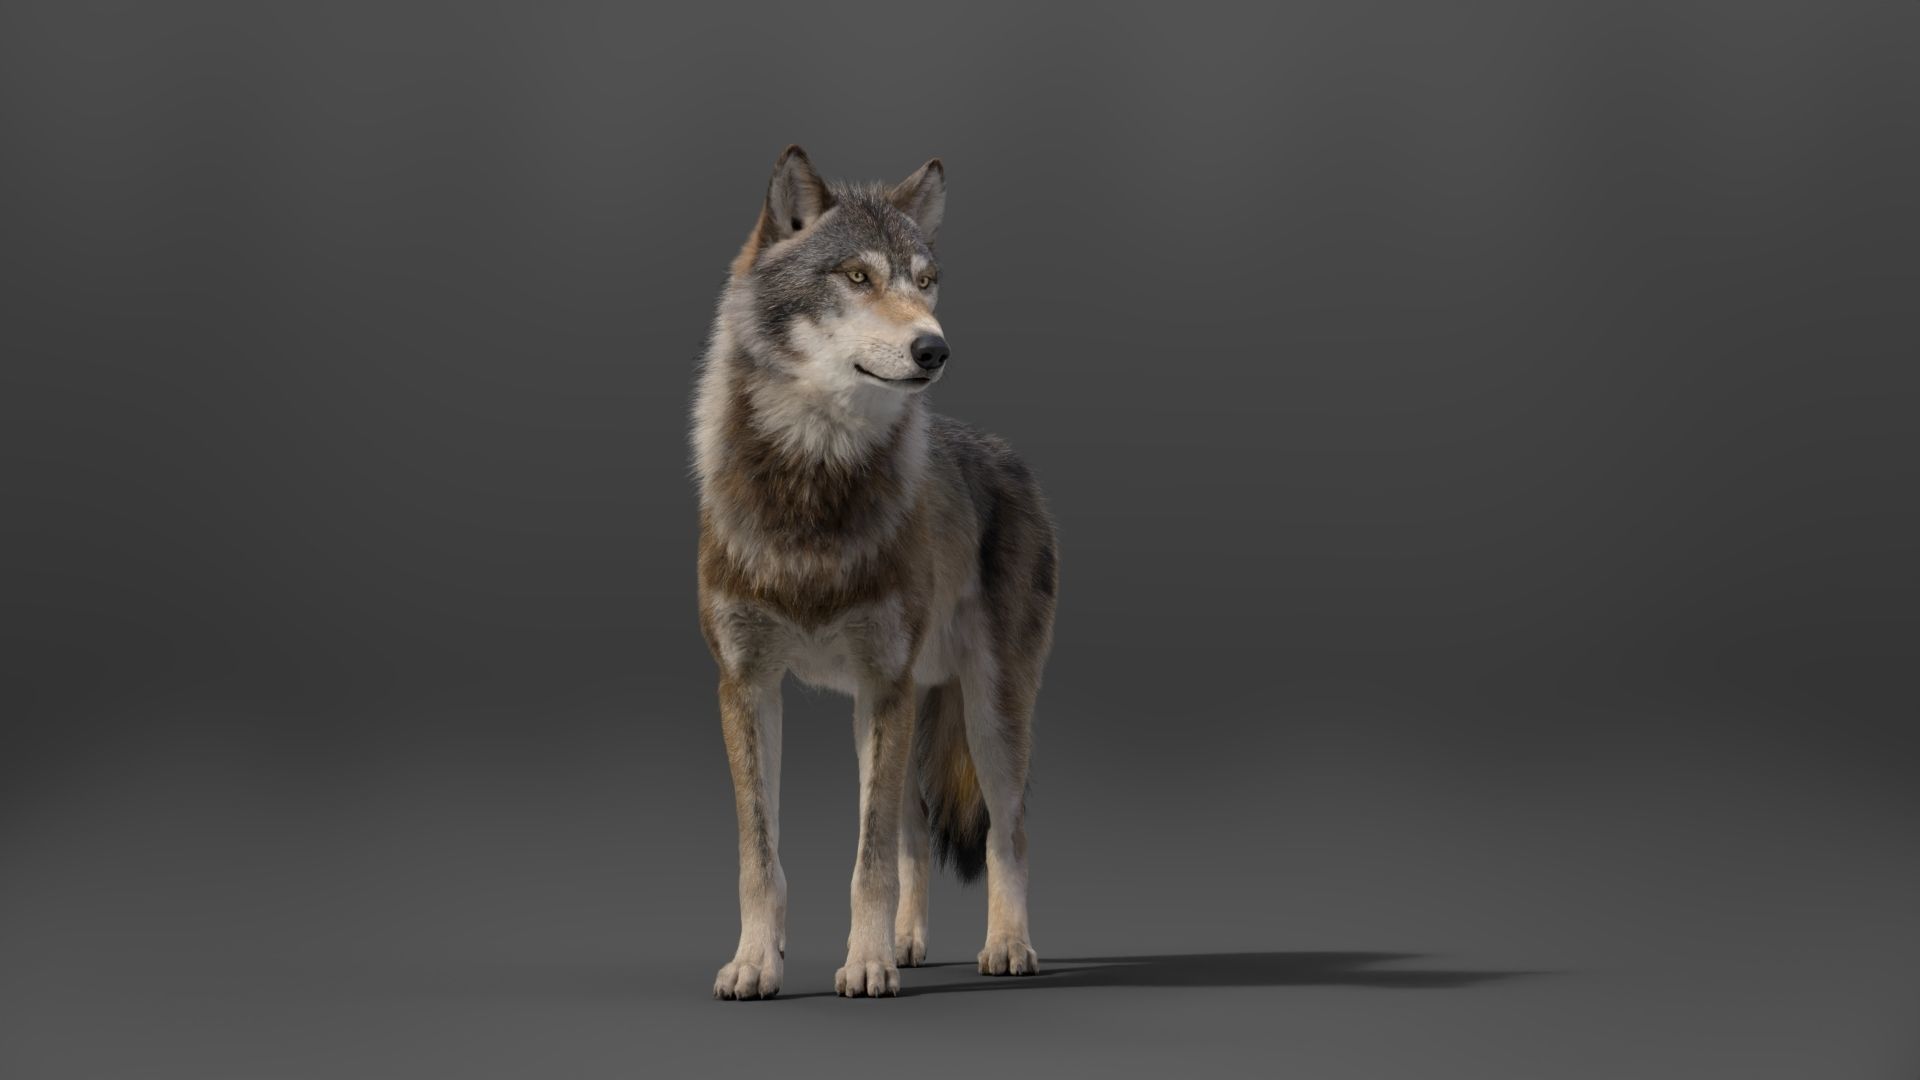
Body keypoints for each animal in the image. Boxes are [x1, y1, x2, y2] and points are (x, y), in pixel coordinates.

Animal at [690, 146, 1058, 999]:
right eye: (856, 276)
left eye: (925, 280)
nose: (935, 349)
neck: (812, 486)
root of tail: (1006, 454)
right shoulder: (748, 684)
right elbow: (763, 854)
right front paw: (756, 961)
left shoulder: (881, 683)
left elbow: (868, 862)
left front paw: (863, 963)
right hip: (904, 704)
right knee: (912, 831)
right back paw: (911, 941)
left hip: (989, 712)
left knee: (1008, 830)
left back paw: (1007, 947)